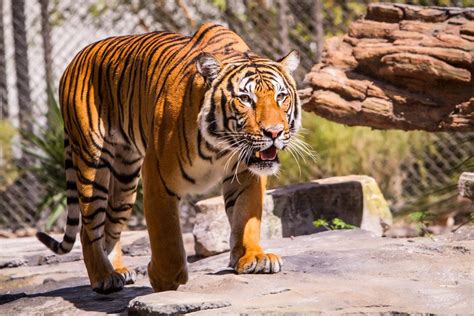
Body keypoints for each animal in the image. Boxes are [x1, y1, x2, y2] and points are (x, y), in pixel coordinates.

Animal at [37, 22, 302, 294]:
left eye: (281, 97)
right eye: (245, 99)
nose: (274, 132)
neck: (221, 147)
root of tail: (75, 59)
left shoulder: (246, 171)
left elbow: (246, 216)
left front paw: (253, 257)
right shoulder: (157, 175)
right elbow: (167, 236)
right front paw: (164, 279)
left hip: (125, 178)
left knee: (110, 224)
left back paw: (118, 271)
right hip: (92, 162)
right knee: (88, 227)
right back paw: (103, 277)